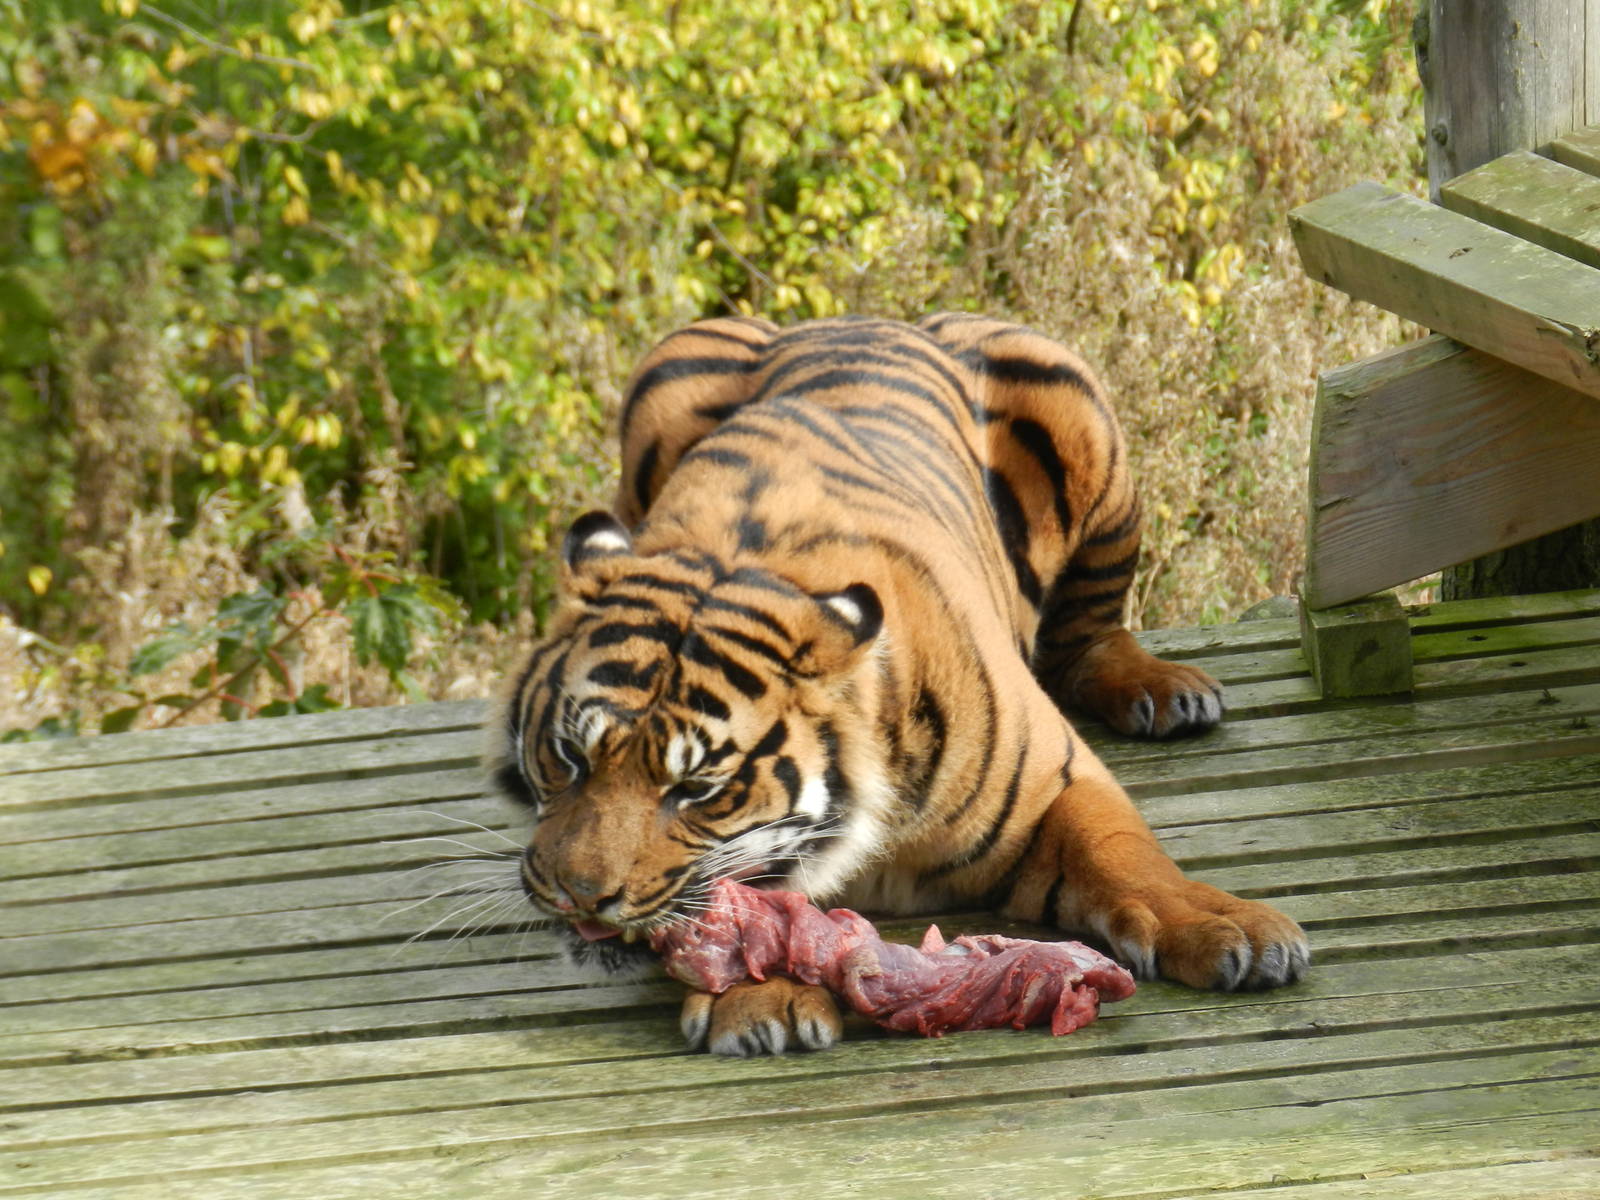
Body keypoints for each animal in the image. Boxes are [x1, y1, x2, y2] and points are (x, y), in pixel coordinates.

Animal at [491, 313, 1309, 1057]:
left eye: (697, 790)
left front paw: (1230, 930)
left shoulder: (1057, 781)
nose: (578, 894)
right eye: (569, 758)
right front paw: (759, 1001)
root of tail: (854, 317)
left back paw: (1165, 693)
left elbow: (1128, 856)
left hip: (1079, 407)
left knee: (1090, 634)